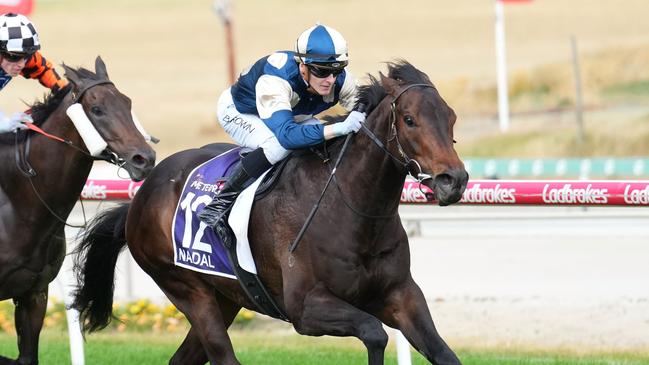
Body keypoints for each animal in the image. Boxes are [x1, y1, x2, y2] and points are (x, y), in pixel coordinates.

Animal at [73, 60, 468, 364]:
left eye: (450, 116)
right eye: (410, 119)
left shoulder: (402, 295)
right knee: (221, 353)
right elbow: (375, 333)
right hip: (187, 289)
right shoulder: (305, 308)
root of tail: (141, 197)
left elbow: (442, 352)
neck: (352, 209)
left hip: (225, 295)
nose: (455, 180)